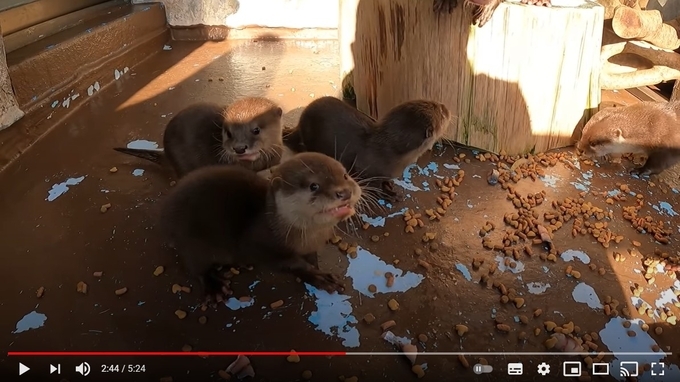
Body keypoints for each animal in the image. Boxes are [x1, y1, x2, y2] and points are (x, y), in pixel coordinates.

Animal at [160, 151, 364, 302]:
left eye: (345, 175)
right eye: (314, 186)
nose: (344, 192)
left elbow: (310, 260)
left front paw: (316, 273)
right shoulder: (261, 246)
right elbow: (292, 263)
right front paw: (319, 275)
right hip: (192, 242)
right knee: (195, 267)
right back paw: (214, 286)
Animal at [282, 97, 452, 201]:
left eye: (435, 104)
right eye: (442, 114)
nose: (446, 107)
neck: (389, 154)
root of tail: (299, 123)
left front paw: (389, 185)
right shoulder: (364, 169)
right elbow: (373, 185)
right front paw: (389, 194)